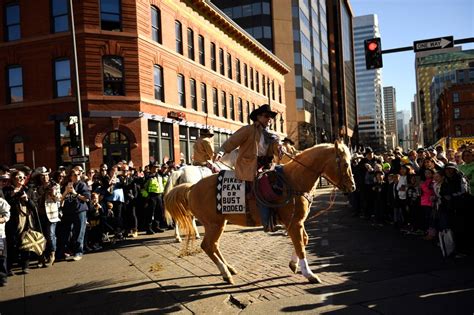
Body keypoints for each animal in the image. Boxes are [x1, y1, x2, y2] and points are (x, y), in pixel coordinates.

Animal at [165, 141, 354, 284]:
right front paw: (309, 274)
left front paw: (294, 265)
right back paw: (225, 273)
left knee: (213, 246)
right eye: (345, 164)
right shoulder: (294, 224)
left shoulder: (296, 223)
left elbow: (304, 241)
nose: (352, 186)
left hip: (218, 223)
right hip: (213, 224)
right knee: (207, 246)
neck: (293, 180)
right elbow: (300, 247)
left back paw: (229, 269)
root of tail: (192, 187)